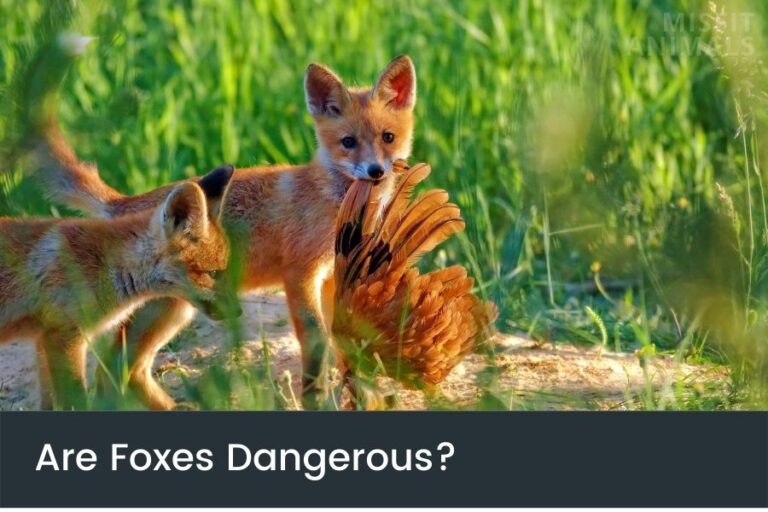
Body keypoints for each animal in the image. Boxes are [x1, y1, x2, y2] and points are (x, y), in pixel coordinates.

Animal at [0, 165, 239, 409]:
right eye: (213, 273)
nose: (238, 311)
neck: (105, 263)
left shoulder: (45, 338)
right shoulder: (64, 336)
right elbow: (77, 400)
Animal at [31, 45, 416, 409]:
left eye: (388, 137)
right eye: (348, 142)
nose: (375, 171)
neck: (334, 203)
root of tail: (124, 203)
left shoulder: (333, 275)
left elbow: (342, 340)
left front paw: (358, 391)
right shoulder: (300, 273)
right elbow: (317, 339)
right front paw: (316, 396)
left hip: (175, 310)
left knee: (128, 371)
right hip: (167, 308)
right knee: (113, 371)